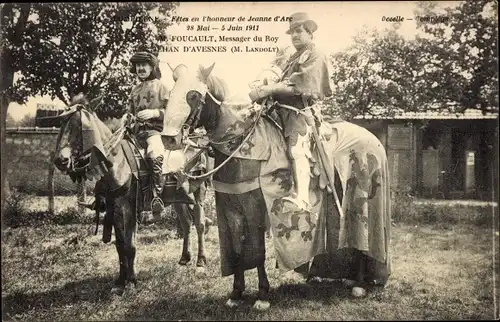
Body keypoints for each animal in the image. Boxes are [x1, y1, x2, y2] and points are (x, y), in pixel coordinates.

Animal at [52, 97, 211, 296]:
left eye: (78, 127)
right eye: (61, 123)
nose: (60, 160)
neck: (116, 164)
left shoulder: (129, 209)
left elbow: (130, 246)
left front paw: (132, 281)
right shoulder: (114, 211)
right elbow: (120, 246)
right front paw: (120, 281)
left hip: (199, 193)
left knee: (200, 225)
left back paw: (201, 263)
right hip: (179, 199)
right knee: (187, 223)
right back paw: (184, 258)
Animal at [162, 64, 392, 310]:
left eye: (193, 95)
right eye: (170, 94)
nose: (169, 139)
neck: (242, 144)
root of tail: (373, 139)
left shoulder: (254, 207)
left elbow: (257, 250)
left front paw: (262, 295)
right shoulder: (230, 206)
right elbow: (238, 250)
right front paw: (236, 293)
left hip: (364, 200)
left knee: (365, 240)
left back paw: (359, 284)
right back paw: (350, 278)